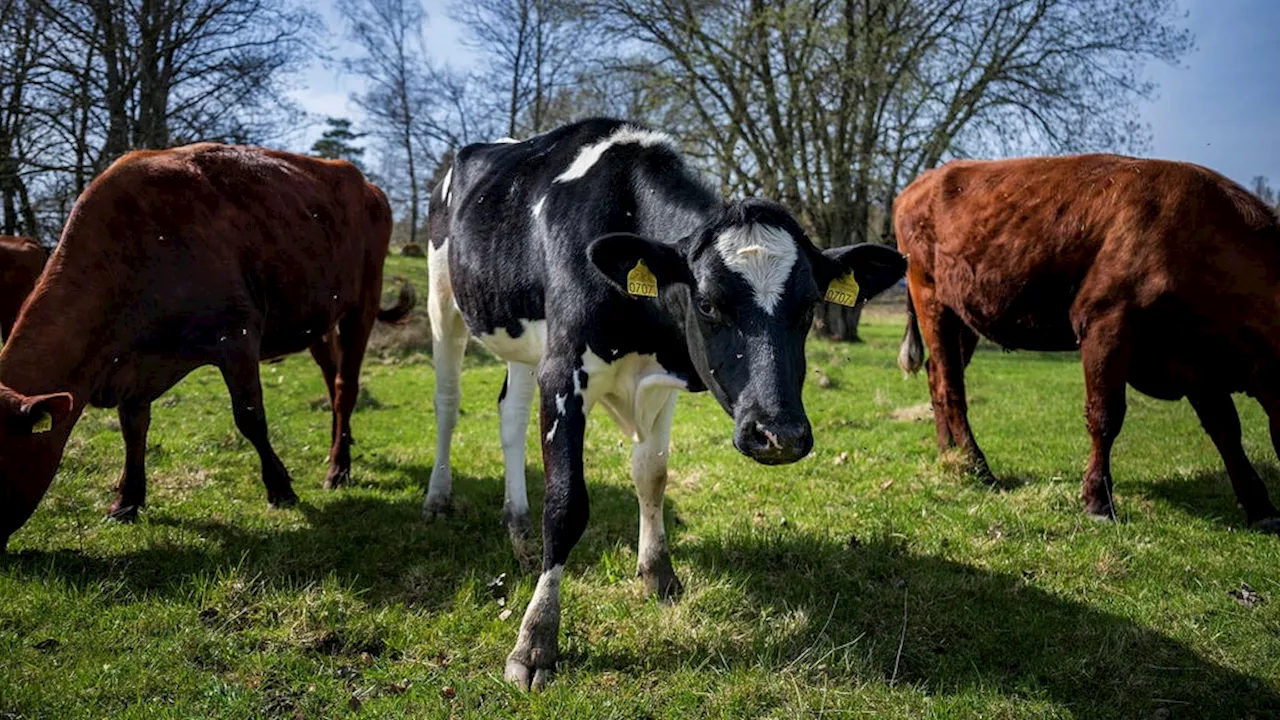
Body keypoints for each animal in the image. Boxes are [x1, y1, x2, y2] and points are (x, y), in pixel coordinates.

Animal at [0, 141, 412, 548]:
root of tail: (365, 184)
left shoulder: (237, 335)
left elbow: (250, 417)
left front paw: (280, 488)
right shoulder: (136, 365)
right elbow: (133, 425)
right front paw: (126, 501)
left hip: (363, 302)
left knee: (345, 386)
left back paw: (339, 468)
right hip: (318, 320)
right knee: (331, 377)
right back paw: (341, 444)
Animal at [424, 119, 906, 691]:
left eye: (809, 305)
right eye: (708, 304)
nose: (780, 435)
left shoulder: (661, 378)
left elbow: (651, 475)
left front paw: (657, 572)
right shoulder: (563, 371)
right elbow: (565, 504)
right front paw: (536, 639)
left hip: (523, 344)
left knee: (510, 416)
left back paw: (518, 526)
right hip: (442, 299)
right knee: (448, 401)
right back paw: (439, 498)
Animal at [896, 154, 1280, 530]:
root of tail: (920, 184)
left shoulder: (1196, 359)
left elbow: (1226, 428)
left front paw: (1261, 507)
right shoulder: (1105, 324)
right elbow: (1105, 416)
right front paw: (1098, 502)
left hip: (965, 318)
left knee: (936, 375)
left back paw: (949, 456)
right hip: (932, 298)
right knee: (951, 388)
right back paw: (977, 467)